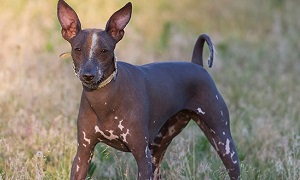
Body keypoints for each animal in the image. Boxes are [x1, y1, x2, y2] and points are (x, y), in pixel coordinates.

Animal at [57, 0, 240, 179]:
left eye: (104, 50)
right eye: (77, 49)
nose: (88, 75)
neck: (105, 101)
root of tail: (196, 64)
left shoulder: (141, 155)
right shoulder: (83, 154)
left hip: (223, 140)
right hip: (158, 149)